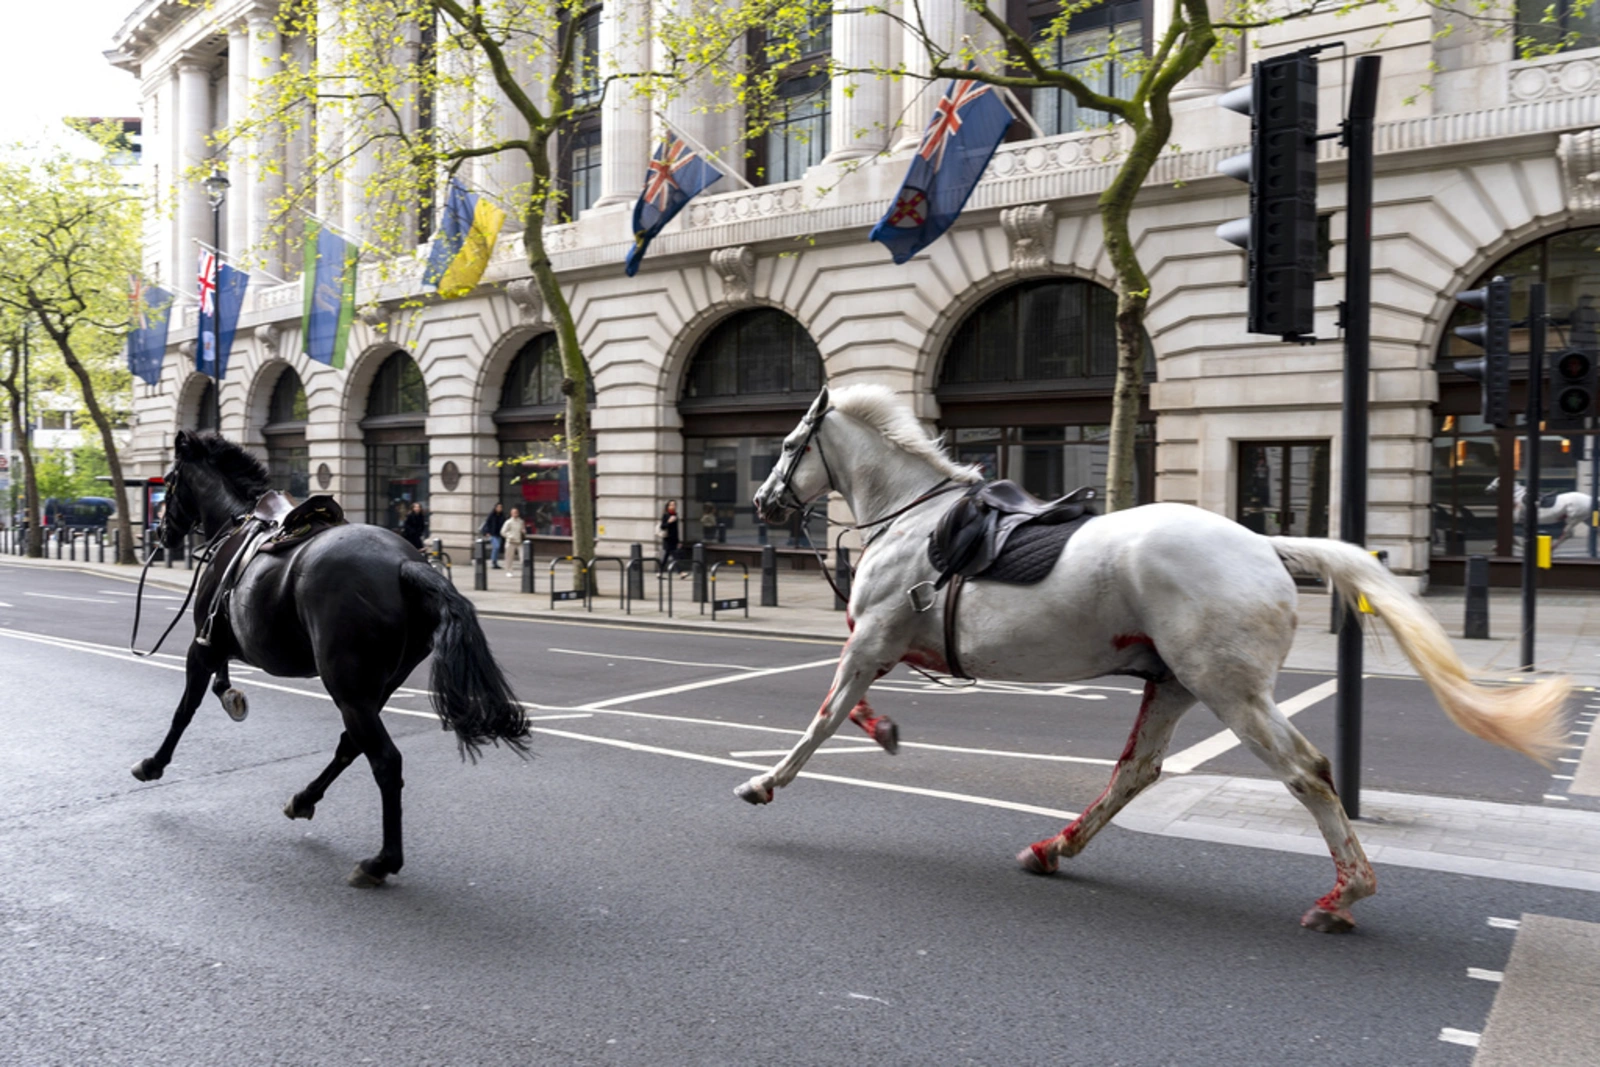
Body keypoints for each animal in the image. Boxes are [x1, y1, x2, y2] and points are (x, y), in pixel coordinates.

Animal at [134, 428, 528, 889]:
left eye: (169, 481)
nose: (160, 531)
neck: (237, 521)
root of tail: (406, 564)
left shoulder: (204, 645)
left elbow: (184, 710)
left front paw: (153, 763)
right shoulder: (220, 642)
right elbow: (217, 685)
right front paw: (231, 696)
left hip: (347, 686)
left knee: (385, 761)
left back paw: (381, 861)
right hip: (375, 687)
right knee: (351, 746)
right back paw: (304, 800)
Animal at [752, 385, 1574, 934]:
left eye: (790, 444)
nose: (762, 502)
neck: (914, 520)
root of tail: (1267, 545)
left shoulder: (872, 637)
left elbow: (823, 716)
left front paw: (765, 781)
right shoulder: (883, 642)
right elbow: (849, 706)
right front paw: (884, 731)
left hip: (1228, 688)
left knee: (1304, 772)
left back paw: (1343, 895)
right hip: (1178, 683)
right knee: (1139, 772)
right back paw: (1054, 846)